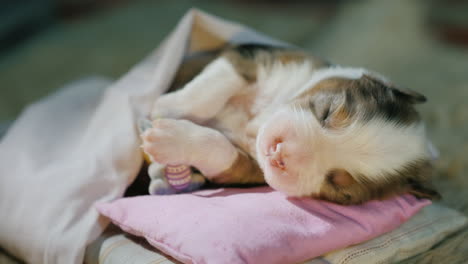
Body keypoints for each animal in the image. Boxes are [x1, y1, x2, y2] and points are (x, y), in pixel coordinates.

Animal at [141, 42, 440, 204]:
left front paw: (171, 140)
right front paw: (169, 105)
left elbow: (222, 152)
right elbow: (219, 83)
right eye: (327, 112)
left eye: (337, 184)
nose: (280, 154)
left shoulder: (250, 170)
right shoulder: (259, 56)